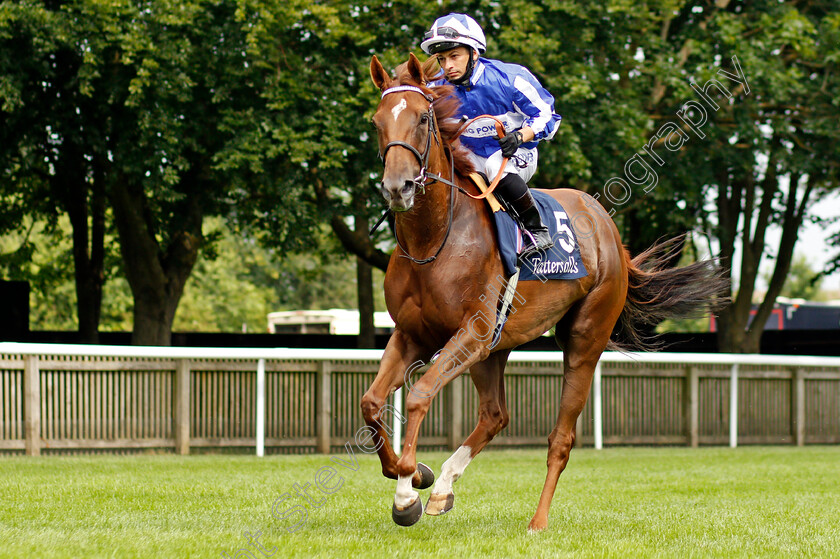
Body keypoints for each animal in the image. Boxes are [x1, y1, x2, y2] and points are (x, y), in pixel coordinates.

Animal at [364, 53, 724, 532]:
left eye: (423, 118)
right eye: (377, 121)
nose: (397, 187)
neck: (434, 239)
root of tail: (609, 230)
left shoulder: (471, 333)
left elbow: (420, 394)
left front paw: (407, 489)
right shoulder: (414, 334)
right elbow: (371, 402)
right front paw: (414, 476)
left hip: (583, 339)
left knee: (561, 438)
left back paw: (537, 520)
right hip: (496, 349)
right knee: (496, 415)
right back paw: (442, 488)